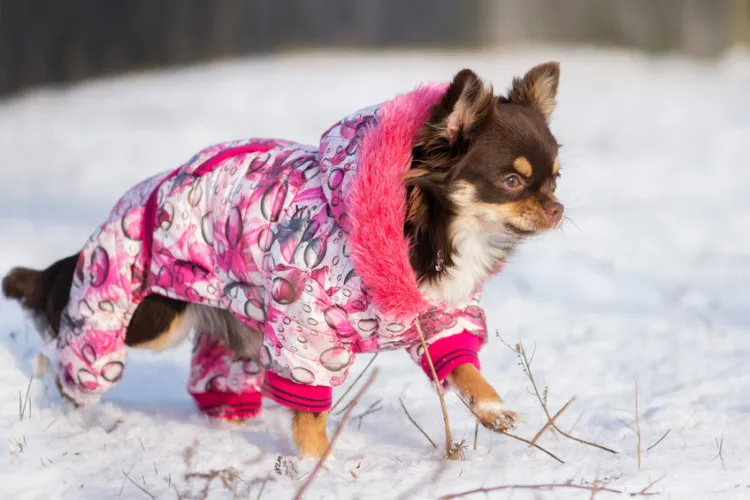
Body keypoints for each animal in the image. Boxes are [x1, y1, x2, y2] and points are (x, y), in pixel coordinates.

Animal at [0, 61, 564, 458]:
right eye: (511, 181)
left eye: (556, 176)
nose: (558, 207)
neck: (425, 233)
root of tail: (137, 199)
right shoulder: (306, 330)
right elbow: (309, 410)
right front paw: (320, 466)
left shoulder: (436, 315)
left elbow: (461, 365)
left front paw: (492, 408)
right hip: (148, 315)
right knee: (73, 348)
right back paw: (63, 404)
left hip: (233, 318)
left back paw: (230, 421)